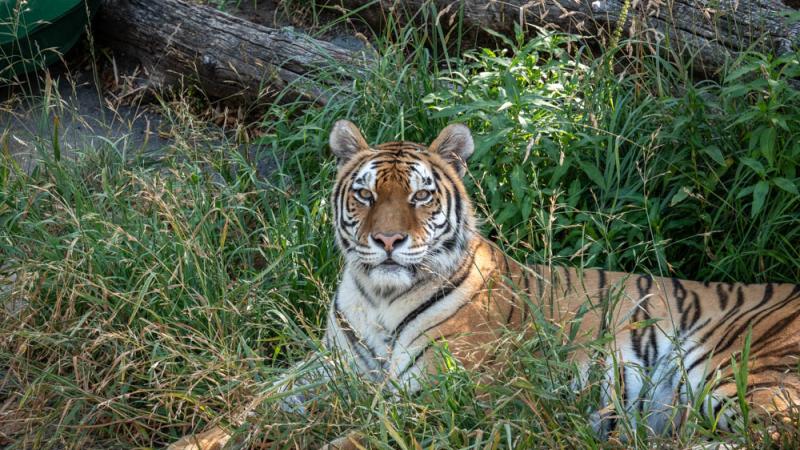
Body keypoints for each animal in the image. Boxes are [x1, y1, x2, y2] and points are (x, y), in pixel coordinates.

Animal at [170, 120, 800, 450]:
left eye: (421, 195)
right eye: (366, 194)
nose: (388, 241)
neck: (378, 298)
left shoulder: (434, 397)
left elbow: (346, 440)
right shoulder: (326, 367)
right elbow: (251, 406)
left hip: (741, 369)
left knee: (769, 437)